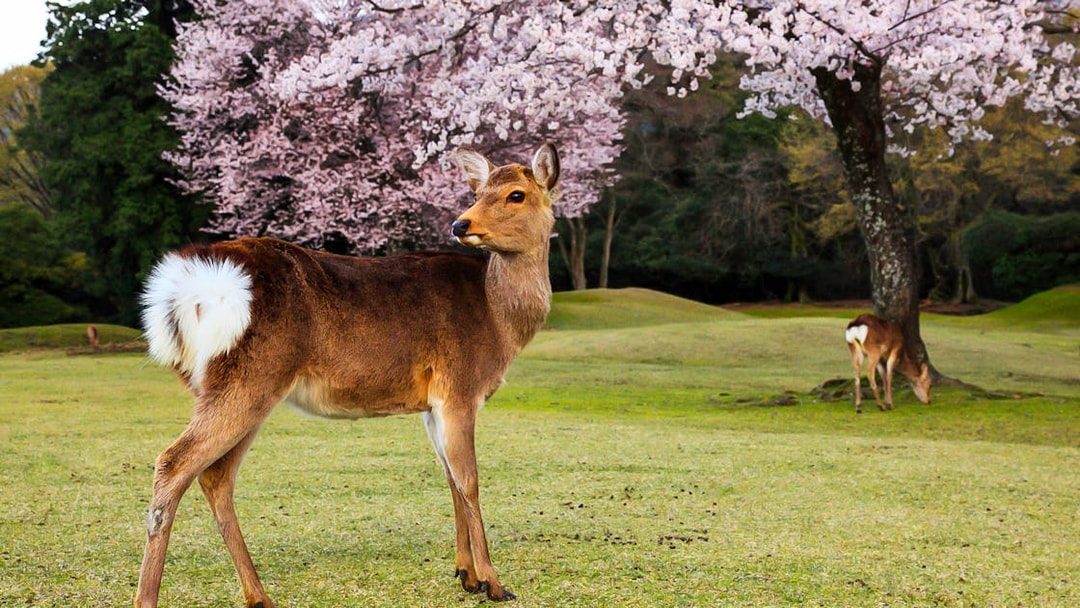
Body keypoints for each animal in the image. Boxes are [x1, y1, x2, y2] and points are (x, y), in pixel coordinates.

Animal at [134, 143, 560, 608]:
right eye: (479, 192)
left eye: (516, 194)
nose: (460, 223)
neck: (499, 319)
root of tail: (181, 291)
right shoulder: (460, 387)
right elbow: (470, 481)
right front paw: (494, 583)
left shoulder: (433, 403)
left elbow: (449, 477)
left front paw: (466, 575)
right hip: (248, 378)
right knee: (173, 463)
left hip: (230, 386)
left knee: (215, 476)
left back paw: (258, 595)